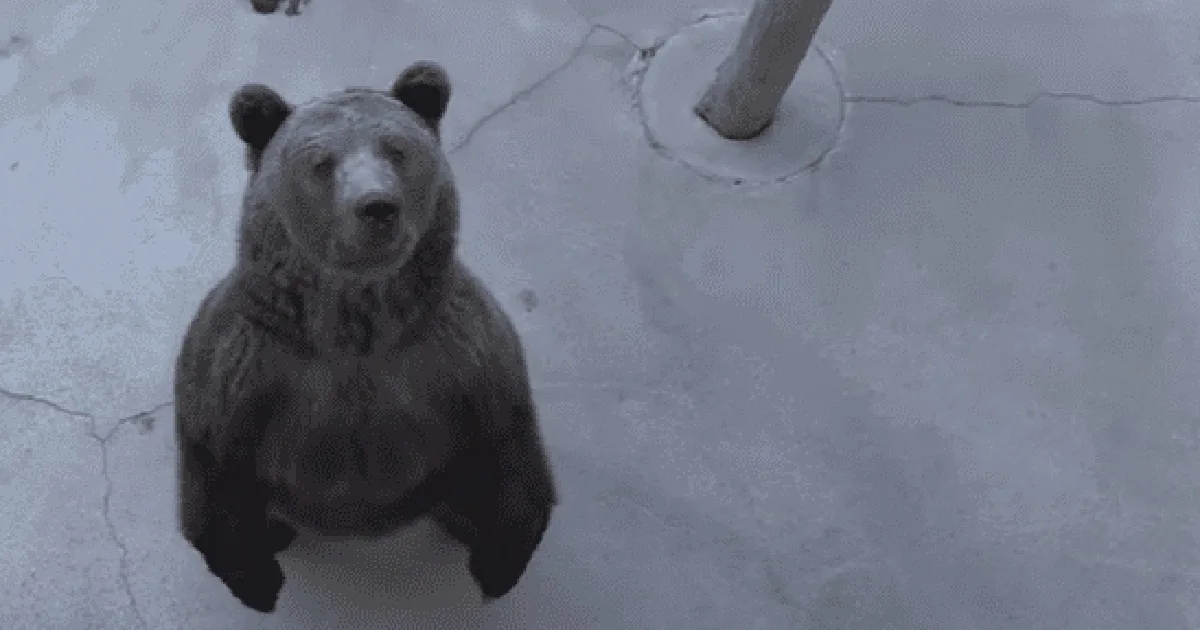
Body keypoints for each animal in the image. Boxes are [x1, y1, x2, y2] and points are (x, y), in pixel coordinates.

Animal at [174, 60, 558, 614]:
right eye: (321, 161)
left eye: (396, 148)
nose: (377, 206)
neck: (356, 332)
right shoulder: (247, 368)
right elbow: (213, 463)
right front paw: (257, 583)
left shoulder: (457, 355)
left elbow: (509, 440)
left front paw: (497, 568)